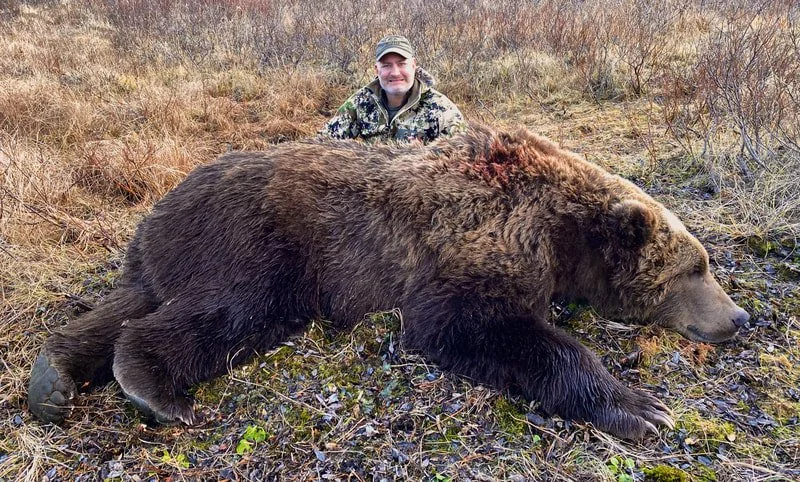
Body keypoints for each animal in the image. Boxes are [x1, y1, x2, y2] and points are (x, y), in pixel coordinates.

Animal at [28, 125, 750, 439]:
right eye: (696, 267)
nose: (740, 318)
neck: (561, 227)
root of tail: (159, 210)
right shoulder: (476, 243)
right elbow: (471, 324)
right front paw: (642, 407)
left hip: (171, 256)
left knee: (124, 305)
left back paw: (52, 383)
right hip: (266, 245)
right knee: (228, 312)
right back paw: (159, 395)